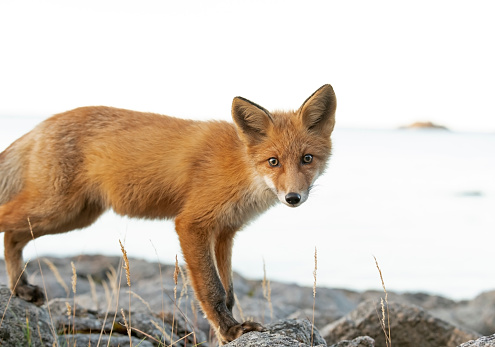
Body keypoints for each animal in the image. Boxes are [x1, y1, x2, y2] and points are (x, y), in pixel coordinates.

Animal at [0, 83, 338, 342]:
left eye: (307, 158)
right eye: (273, 161)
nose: (293, 198)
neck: (242, 170)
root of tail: (43, 123)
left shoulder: (224, 232)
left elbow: (228, 293)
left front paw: (225, 333)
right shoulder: (192, 224)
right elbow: (212, 289)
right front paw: (231, 330)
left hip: (75, 215)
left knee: (13, 237)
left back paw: (20, 289)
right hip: (57, 209)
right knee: (8, 228)